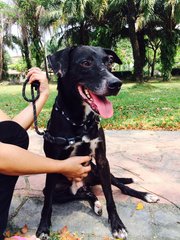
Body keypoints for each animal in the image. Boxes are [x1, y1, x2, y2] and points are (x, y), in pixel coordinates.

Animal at [37, 46, 159, 239]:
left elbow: (110, 198)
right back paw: (95, 203)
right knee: (82, 194)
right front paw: (43, 227)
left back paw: (145, 195)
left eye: (109, 61)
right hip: (61, 189)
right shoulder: (53, 164)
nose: (116, 83)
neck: (79, 122)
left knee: (120, 186)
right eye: (86, 63)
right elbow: (47, 204)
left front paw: (117, 224)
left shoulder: (102, 160)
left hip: (98, 173)